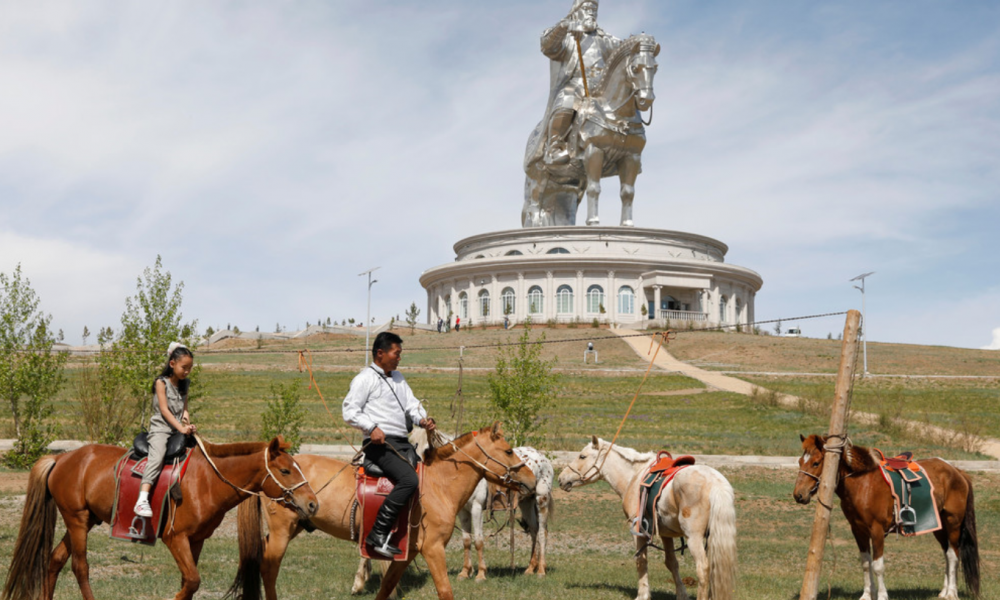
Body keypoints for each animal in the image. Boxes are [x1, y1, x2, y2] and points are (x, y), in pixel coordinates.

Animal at [1, 436, 316, 600]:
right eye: (285, 470)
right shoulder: (175, 538)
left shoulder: (196, 541)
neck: (206, 481)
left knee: (54, 559)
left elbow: (188, 582)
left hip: (85, 520)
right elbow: (192, 581)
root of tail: (61, 458)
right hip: (76, 519)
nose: (312, 504)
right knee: (80, 567)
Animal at [229, 422, 536, 600]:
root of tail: (266, 469)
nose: (532, 479)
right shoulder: (434, 550)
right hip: (282, 533)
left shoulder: (405, 554)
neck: (437, 485)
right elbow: (445, 590)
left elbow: (387, 587)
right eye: (509, 451)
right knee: (268, 569)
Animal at [520, 34, 660, 229]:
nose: (646, 100)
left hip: (565, 181)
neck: (615, 114)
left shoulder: (631, 156)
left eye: (655, 67)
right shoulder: (594, 151)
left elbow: (627, 192)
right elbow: (595, 189)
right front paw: (593, 222)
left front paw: (627, 224)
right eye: (635, 67)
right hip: (539, 175)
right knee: (534, 207)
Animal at [560, 436, 740, 600]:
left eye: (582, 456)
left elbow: (641, 561)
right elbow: (671, 563)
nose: (561, 478)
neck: (633, 477)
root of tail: (716, 484)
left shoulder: (638, 529)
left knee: (703, 569)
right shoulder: (666, 534)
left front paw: (642, 595)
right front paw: (681, 594)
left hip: (693, 537)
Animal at [792, 434, 980, 600]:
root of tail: (957, 471)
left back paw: (951, 593)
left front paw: (882, 595)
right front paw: (867, 595)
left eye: (816, 463)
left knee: (953, 555)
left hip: (953, 523)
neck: (863, 483)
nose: (798, 495)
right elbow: (866, 563)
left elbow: (878, 566)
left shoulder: (876, 530)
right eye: (800, 461)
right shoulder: (858, 531)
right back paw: (944, 591)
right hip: (939, 527)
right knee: (946, 553)